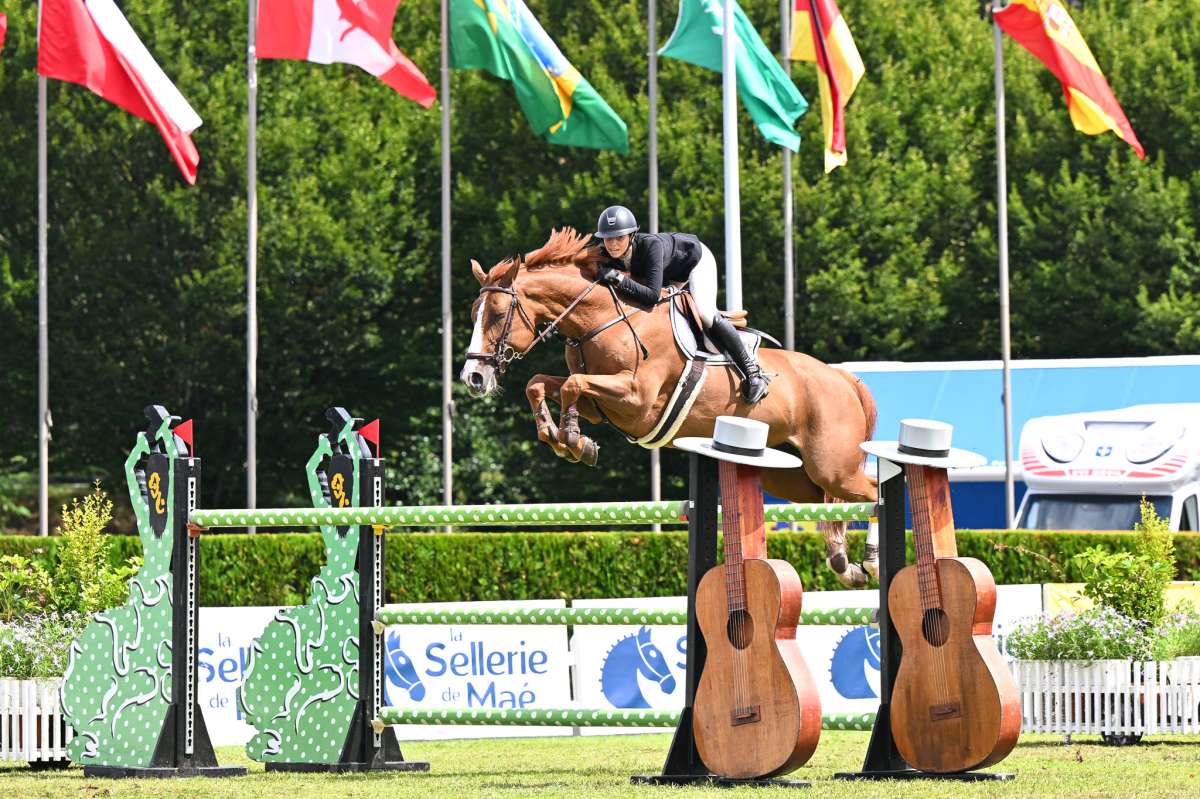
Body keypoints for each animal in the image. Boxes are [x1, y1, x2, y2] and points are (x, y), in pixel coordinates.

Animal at [458, 226, 883, 583]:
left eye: (497, 315)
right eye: (474, 314)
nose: (472, 377)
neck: (599, 320)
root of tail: (844, 379)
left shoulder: (636, 399)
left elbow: (572, 386)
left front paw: (574, 439)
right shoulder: (604, 404)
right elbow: (541, 385)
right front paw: (565, 439)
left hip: (833, 466)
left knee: (872, 491)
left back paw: (872, 562)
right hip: (796, 477)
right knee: (835, 505)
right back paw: (843, 564)